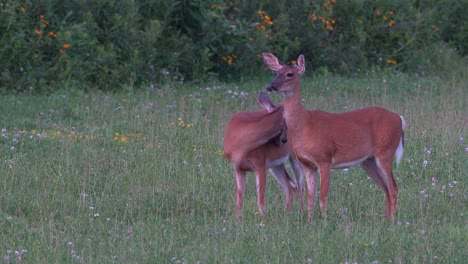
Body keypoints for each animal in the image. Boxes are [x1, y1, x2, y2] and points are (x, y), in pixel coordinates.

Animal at [264, 53, 406, 221]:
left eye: (289, 74)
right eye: (276, 72)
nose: (270, 86)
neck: (305, 124)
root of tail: (400, 119)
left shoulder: (325, 159)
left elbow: (322, 197)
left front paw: (324, 221)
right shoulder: (307, 165)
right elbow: (310, 198)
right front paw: (309, 221)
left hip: (385, 151)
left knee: (393, 188)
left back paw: (392, 220)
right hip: (368, 161)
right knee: (385, 188)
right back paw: (385, 218)